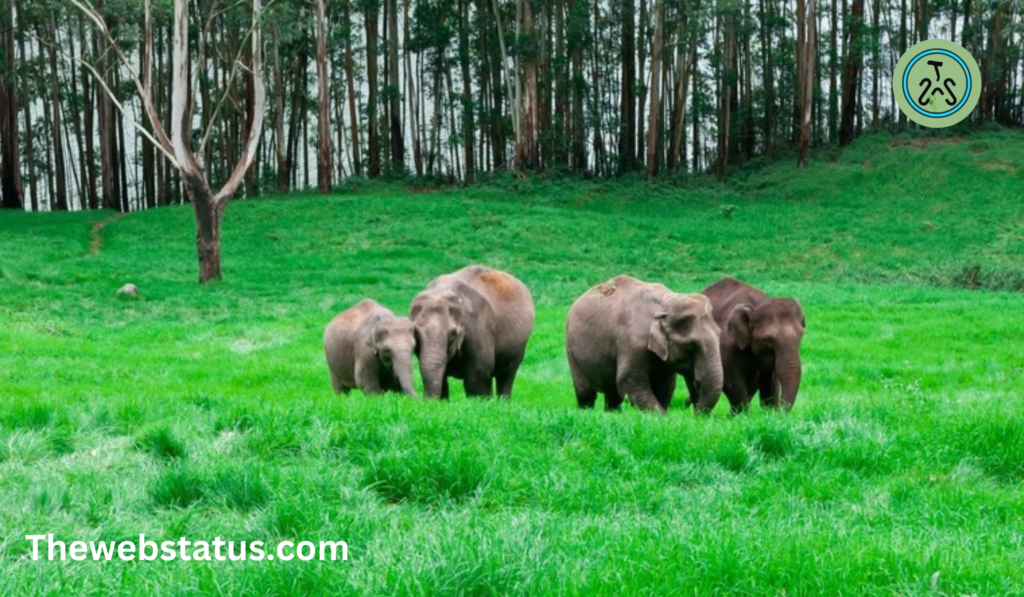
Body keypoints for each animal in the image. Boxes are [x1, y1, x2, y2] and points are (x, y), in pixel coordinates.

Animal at [407, 264, 536, 397]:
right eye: (415, 333)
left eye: (453, 334)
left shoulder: (479, 326)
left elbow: (477, 378)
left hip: (520, 347)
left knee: (508, 375)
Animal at [565, 276, 724, 413]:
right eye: (692, 346)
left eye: (719, 335)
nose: (696, 415)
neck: (666, 303)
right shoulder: (632, 341)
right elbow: (630, 382)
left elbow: (665, 386)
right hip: (571, 349)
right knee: (585, 392)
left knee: (613, 395)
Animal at [704, 278, 806, 413]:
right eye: (769, 340)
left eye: (801, 335)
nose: (780, 411)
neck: (756, 306)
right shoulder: (727, 346)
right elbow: (732, 381)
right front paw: (744, 415)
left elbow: (771, 382)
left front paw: (769, 412)